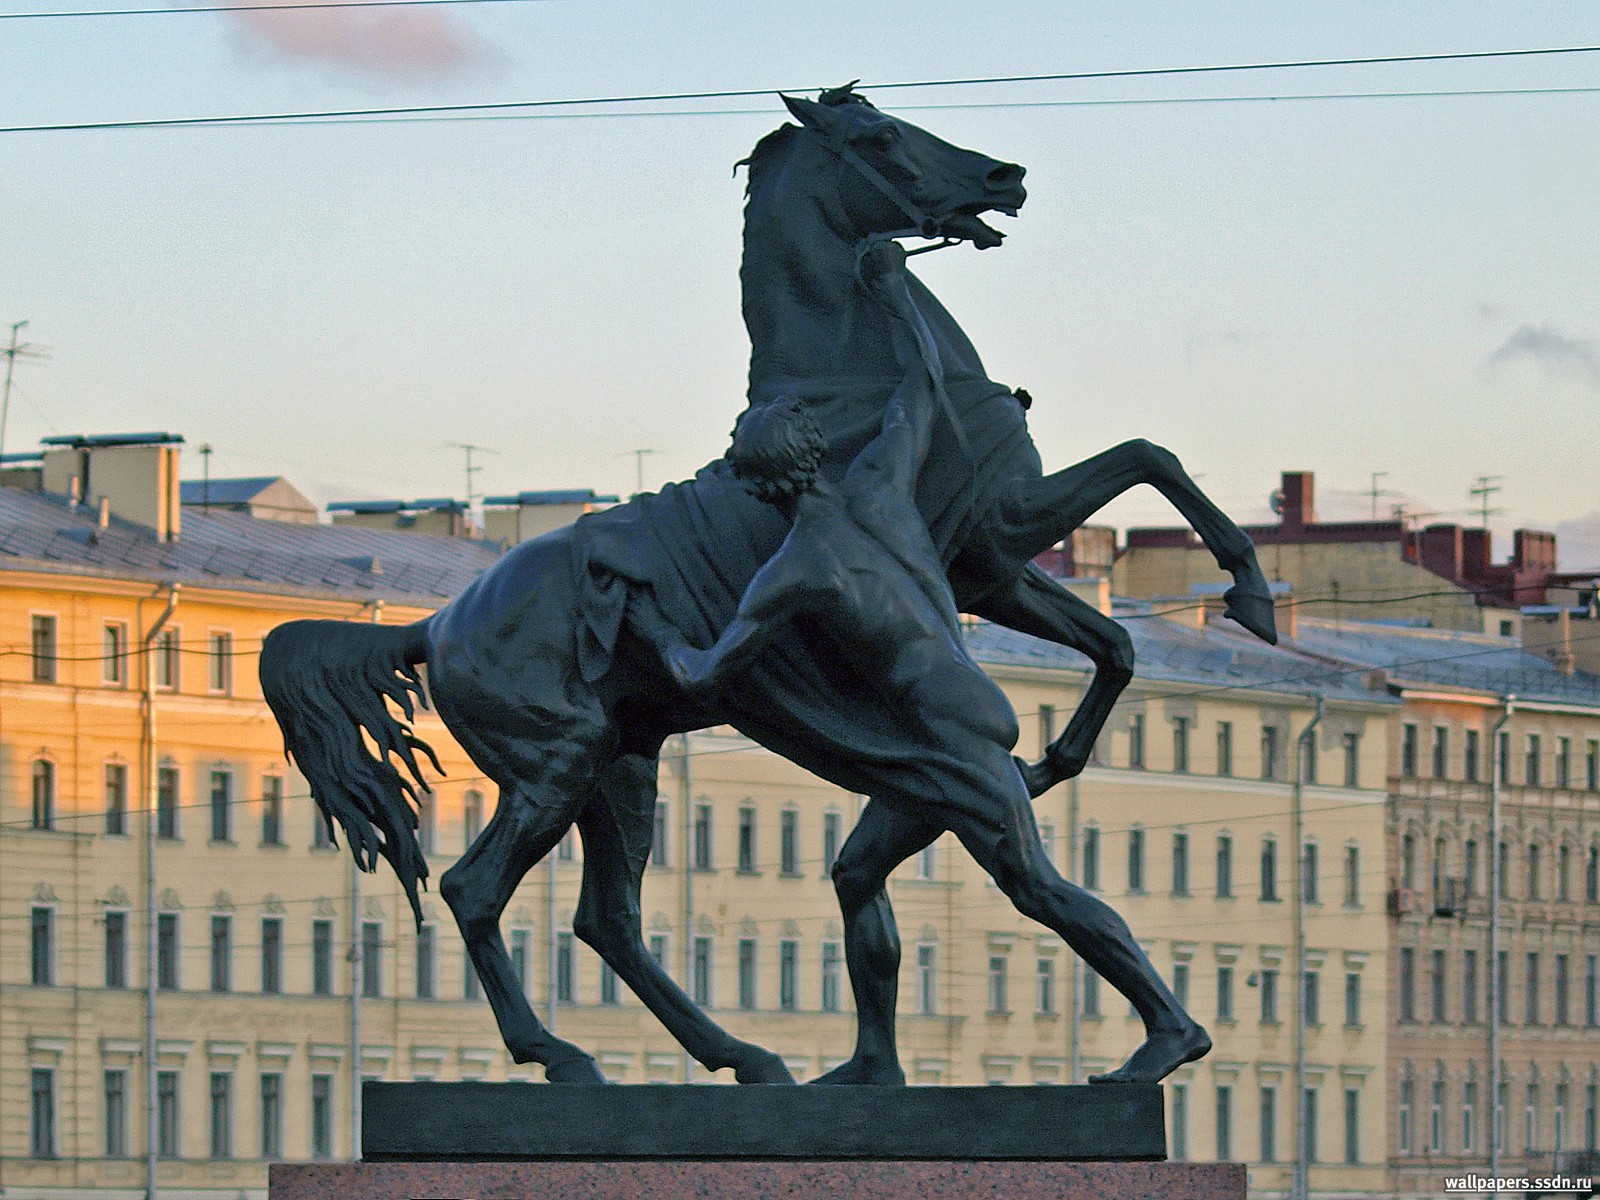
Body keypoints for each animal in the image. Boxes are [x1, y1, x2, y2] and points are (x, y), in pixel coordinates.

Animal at [259, 86, 1273, 1088]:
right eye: (882, 136)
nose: (1004, 177)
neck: (848, 379)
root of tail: (434, 625)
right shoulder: (1005, 526)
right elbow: (1149, 456)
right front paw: (1250, 590)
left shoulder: (988, 567)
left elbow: (1117, 638)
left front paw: (1056, 756)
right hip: (556, 765)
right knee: (477, 890)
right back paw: (564, 1054)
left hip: (621, 768)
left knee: (607, 919)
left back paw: (744, 1057)